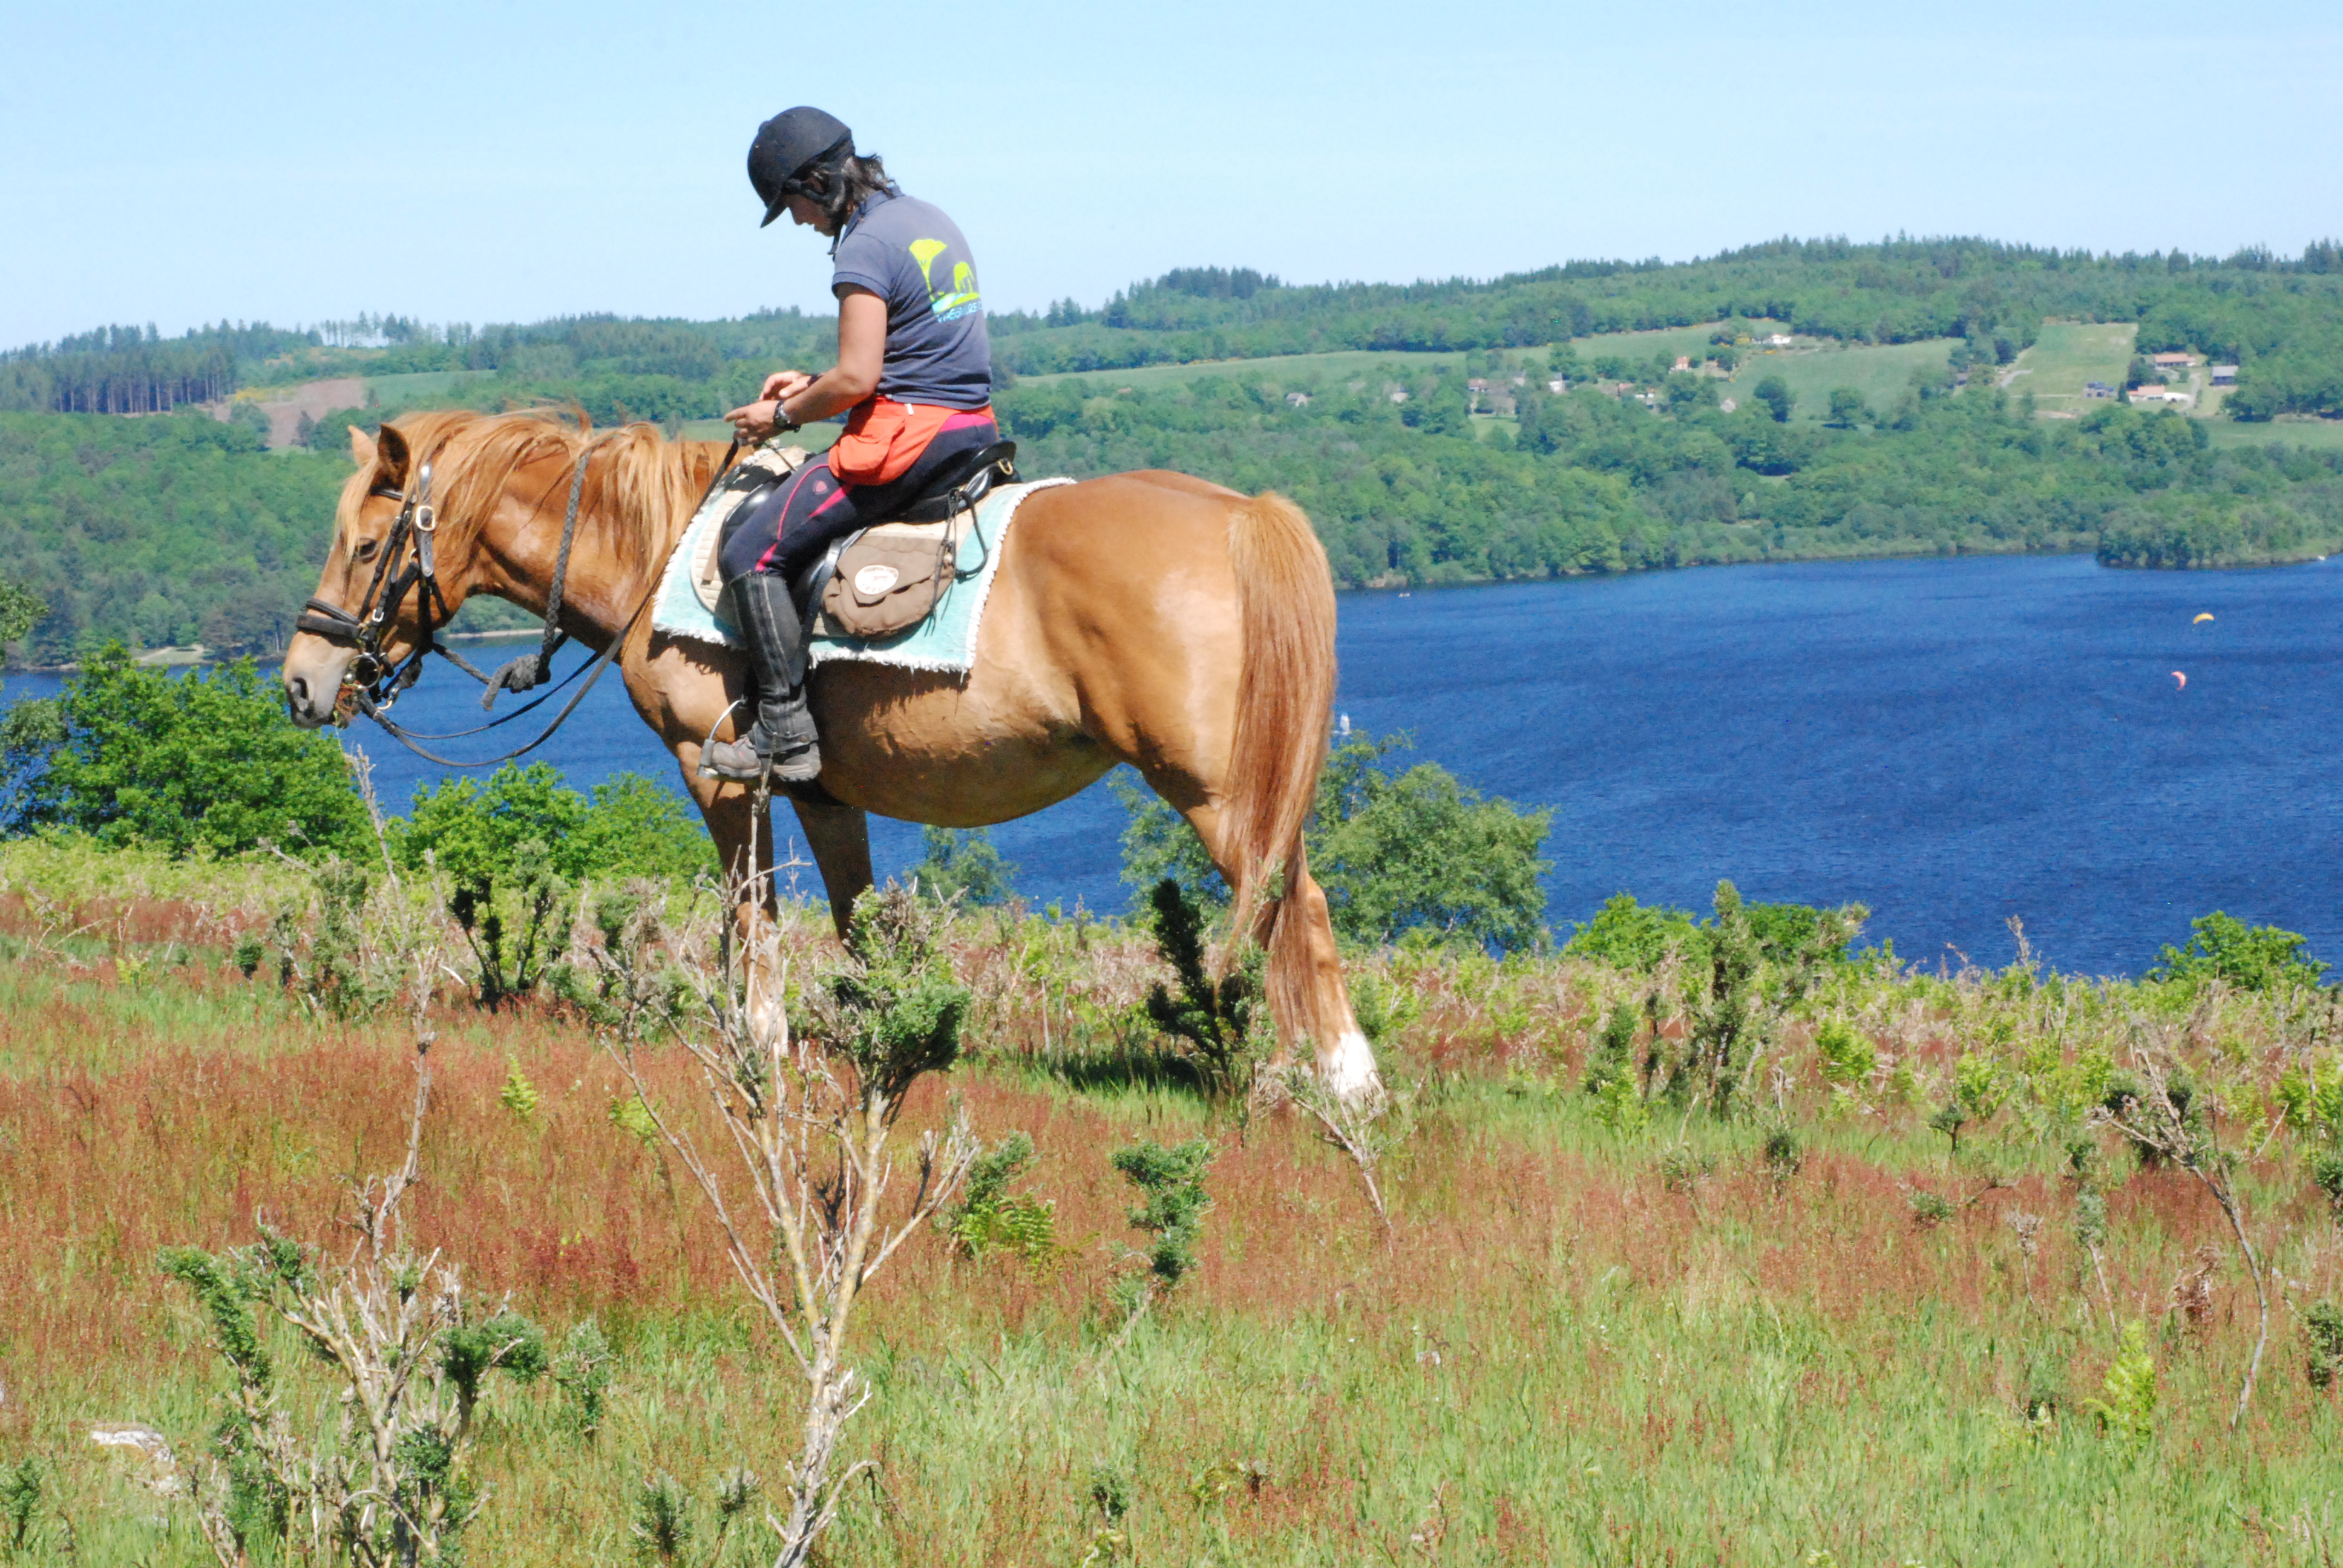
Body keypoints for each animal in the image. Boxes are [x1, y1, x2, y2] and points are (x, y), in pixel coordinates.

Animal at [278, 410, 1368, 1097]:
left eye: (369, 545)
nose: (299, 679)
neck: (658, 555)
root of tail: (1240, 515)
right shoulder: (824, 793)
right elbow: (858, 920)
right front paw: (888, 1031)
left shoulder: (716, 772)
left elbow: (749, 914)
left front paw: (758, 1040)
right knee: (1296, 901)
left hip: (1216, 794)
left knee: (1288, 902)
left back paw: (1335, 1080)